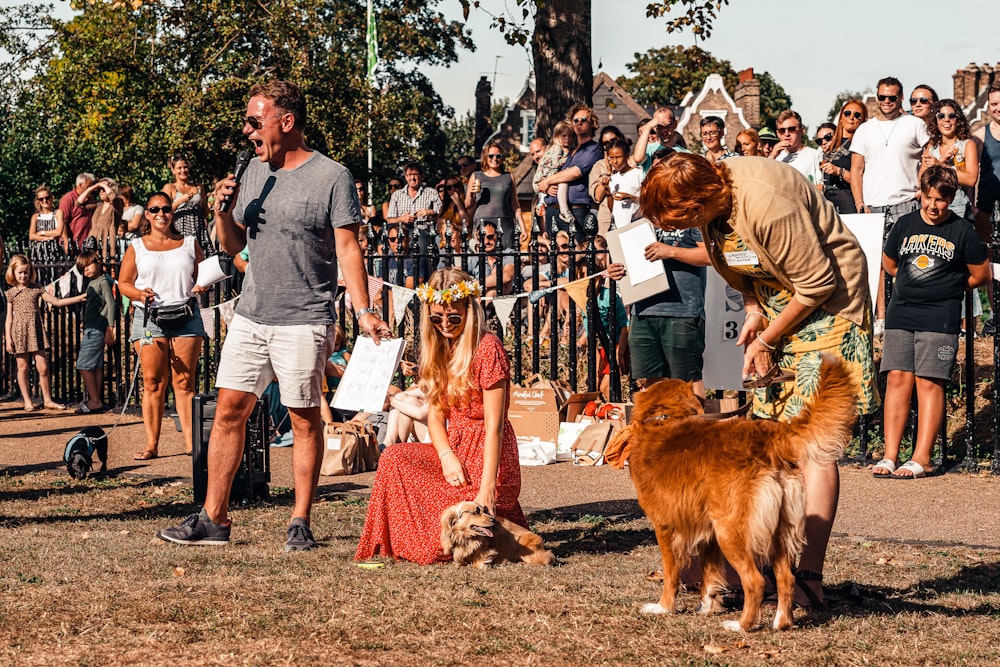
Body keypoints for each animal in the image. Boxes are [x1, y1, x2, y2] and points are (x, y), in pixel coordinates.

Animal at [628, 354, 856, 632]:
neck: (666, 419)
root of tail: (771, 438)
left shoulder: (666, 527)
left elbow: (671, 574)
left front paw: (663, 607)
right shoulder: (708, 535)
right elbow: (709, 576)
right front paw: (707, 607)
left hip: (731, 531)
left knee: (755, 581)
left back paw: (741, 625)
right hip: (777, 532)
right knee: (786, 578)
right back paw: (780, 622)